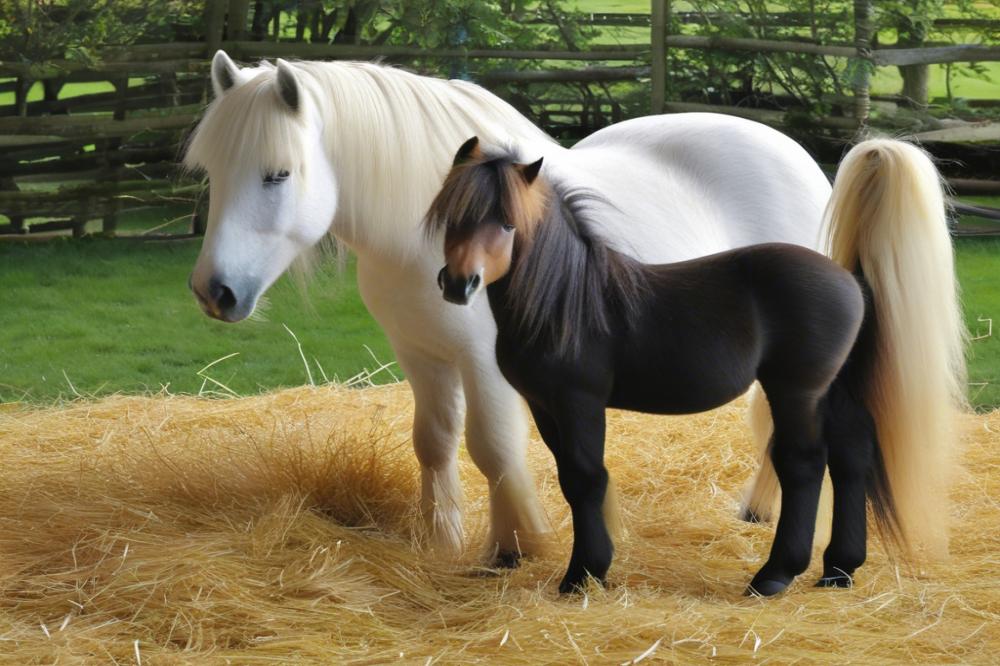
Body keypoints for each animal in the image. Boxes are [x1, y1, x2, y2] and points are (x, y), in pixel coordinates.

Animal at [184, 50, 840, 560]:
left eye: (277, 175)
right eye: (212, 169)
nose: (214, 292)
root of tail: (801, 159)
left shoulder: (487, 364)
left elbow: (493, 448)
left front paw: (516, 546)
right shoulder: (422, 355)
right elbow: (435, 441)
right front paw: (442, 540)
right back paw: (759, 511)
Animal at [426, 137, 964, 592]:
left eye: (508, 223)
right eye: (452, 216)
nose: (458, 283)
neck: (566, 303)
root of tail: (851, 279)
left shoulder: (579, 402)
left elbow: (586, 478)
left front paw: (584, 574)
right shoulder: (544, 405)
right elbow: (571, 479)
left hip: (797, 390)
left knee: (805, 464)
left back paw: (774, 575)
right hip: (832, 391)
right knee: (851, 455)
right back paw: (838, 570)